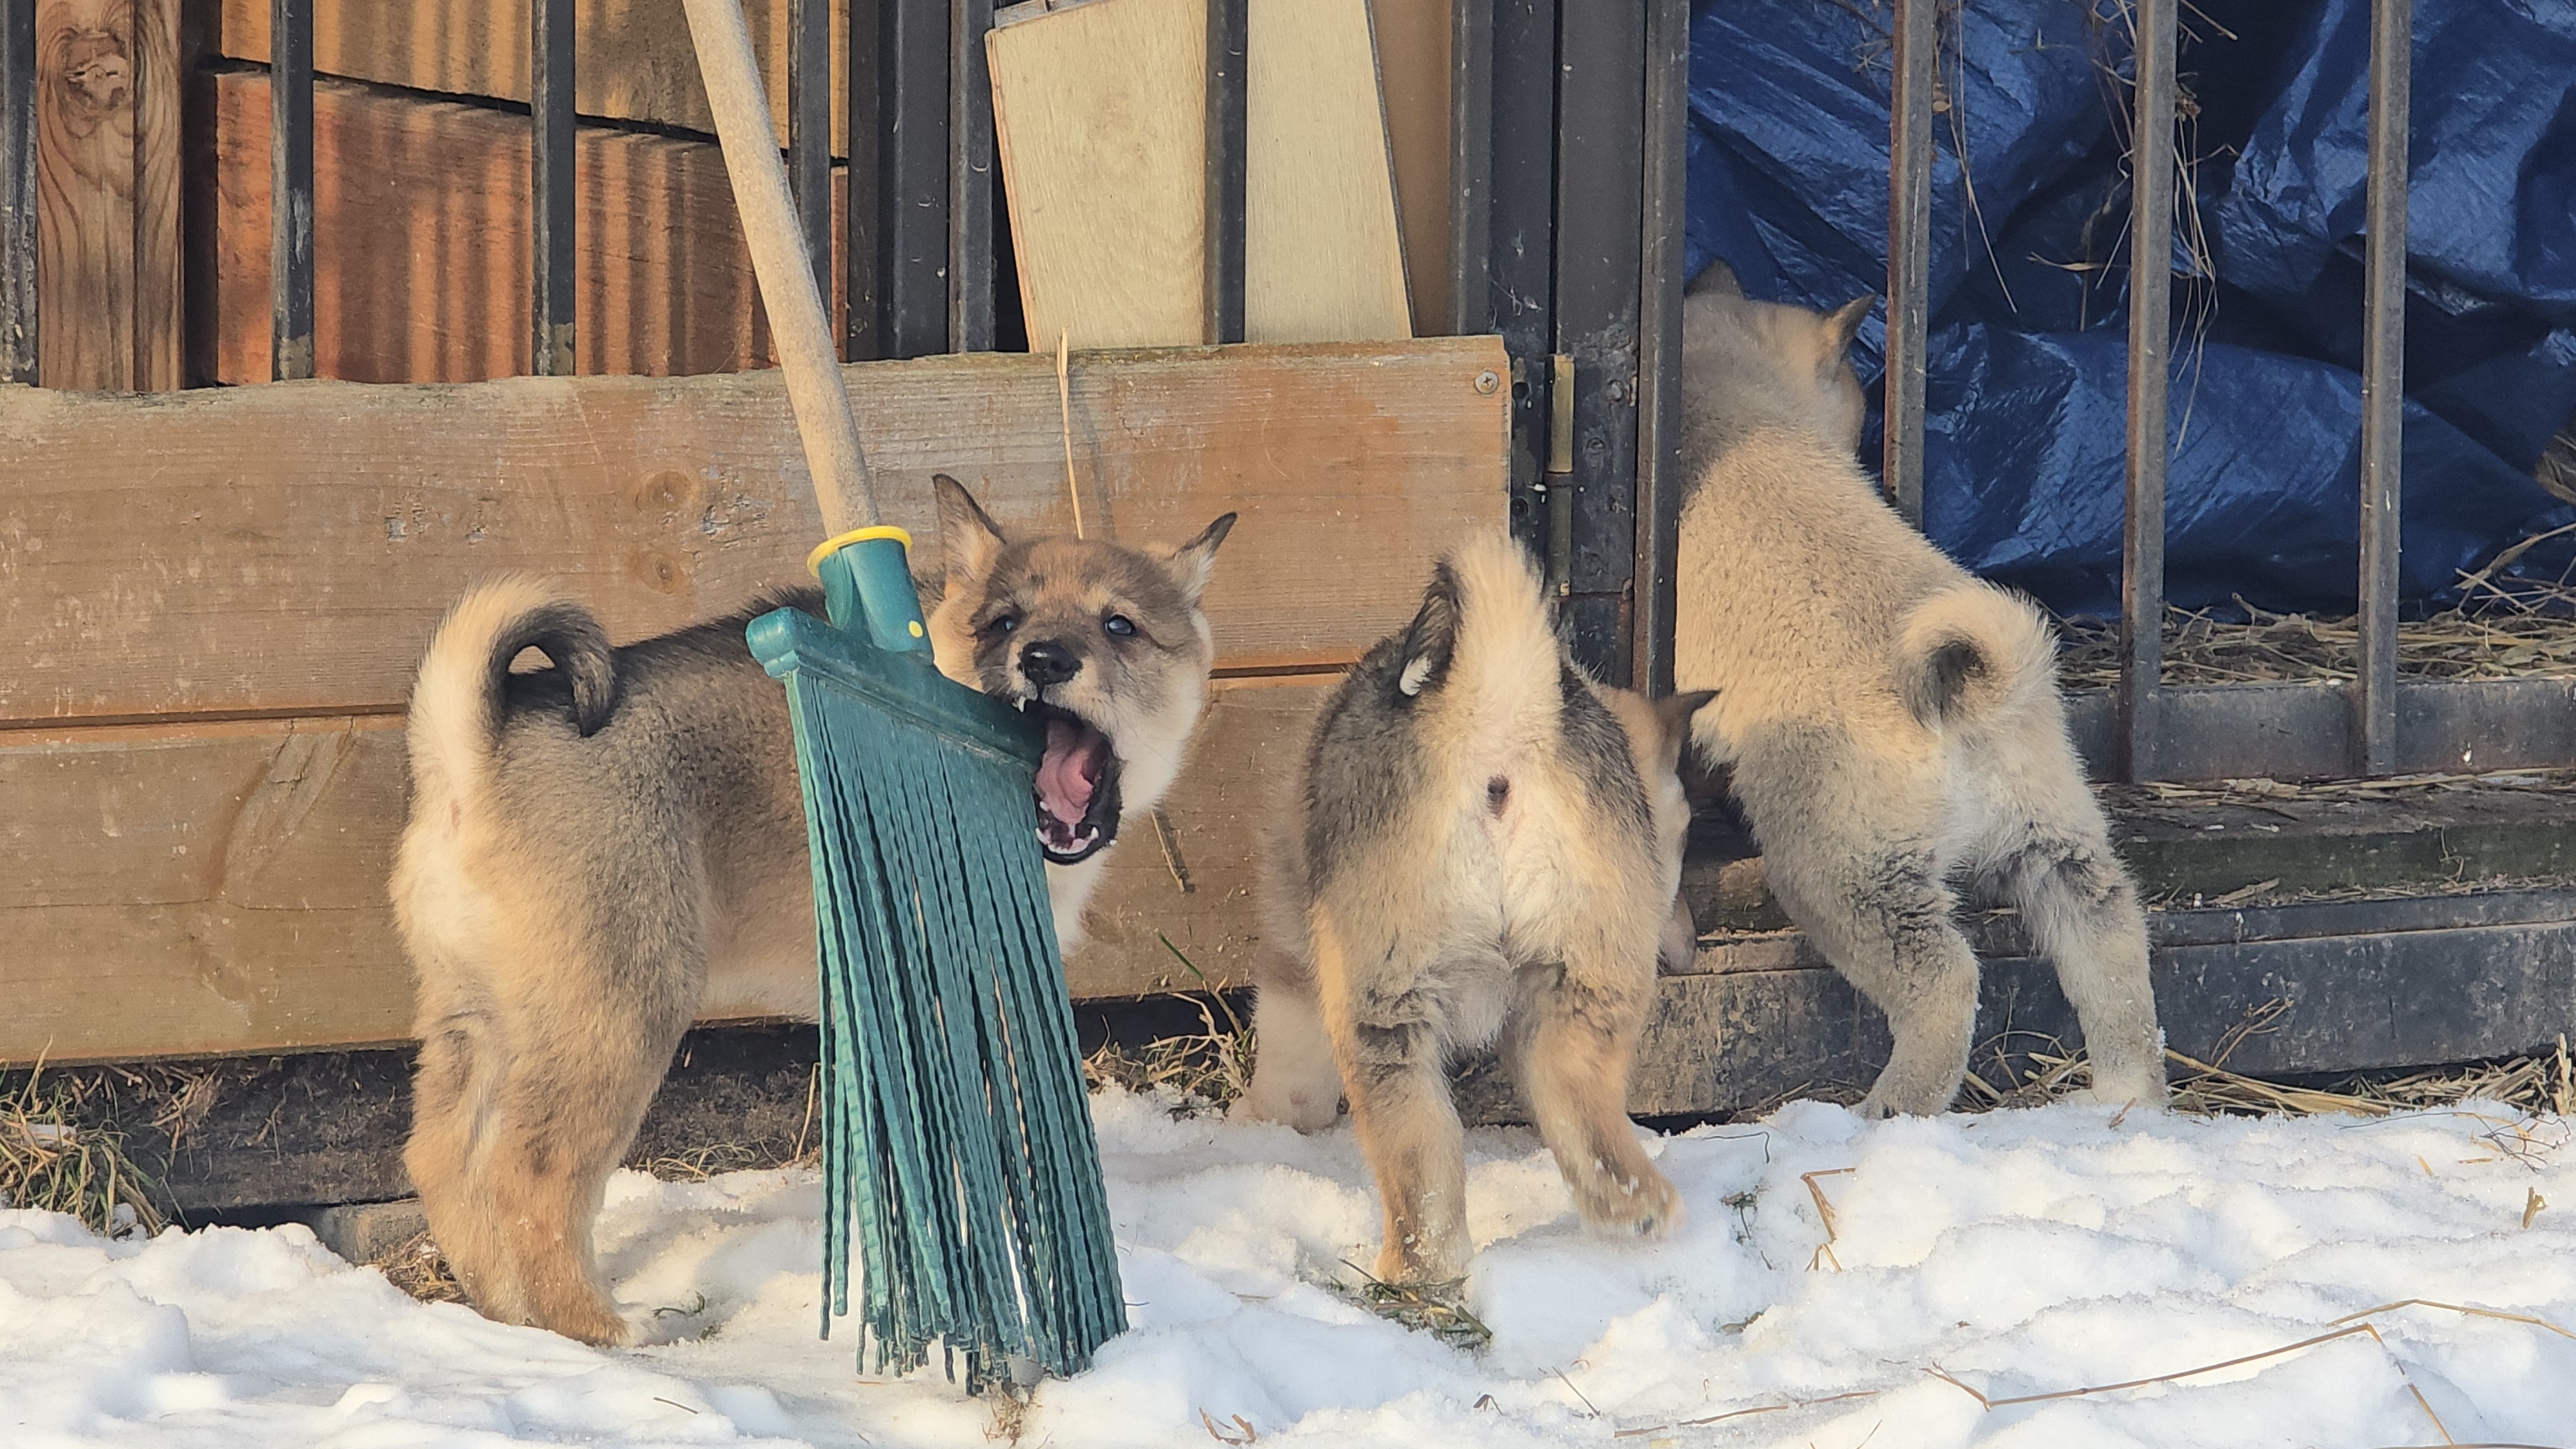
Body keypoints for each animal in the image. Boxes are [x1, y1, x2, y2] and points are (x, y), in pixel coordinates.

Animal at [386, 477, 1231, 1340]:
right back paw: (600, 1328)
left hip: (481, 1020)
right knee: (531, 1174)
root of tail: (473, 750)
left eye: (1120, 626)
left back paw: (506, 1318)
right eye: (1003, 621)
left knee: (442, 1158)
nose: (1044, 660)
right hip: (618, 1012)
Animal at [1231, 536, 1710, 1278]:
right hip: (1586, 984)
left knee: (1418, 1153)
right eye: (1675, 846)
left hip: (1383, 1003)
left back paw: (1414, 1274)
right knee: (1581, 1110)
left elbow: (1290, 1069)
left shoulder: (1295, 958)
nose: (1689, 945)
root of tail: (1499, 718)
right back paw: (1631, 1211)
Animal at [1679, 262, 2164, 1119]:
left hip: (1846, 872)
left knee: (1944, 981)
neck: (1727, 375)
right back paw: (2124, 1097)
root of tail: (1968, 696)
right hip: (2055, 841)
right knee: (2108, 940)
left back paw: (1883, 1115)